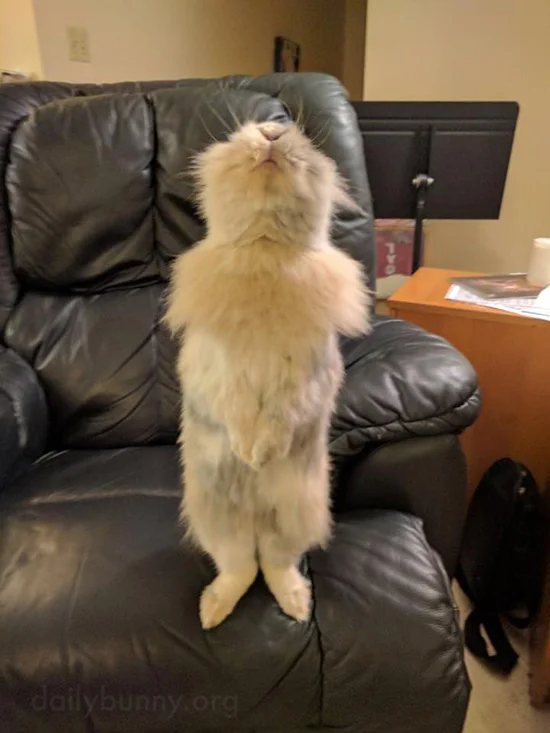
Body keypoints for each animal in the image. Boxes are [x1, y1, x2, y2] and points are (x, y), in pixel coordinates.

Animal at [165, 120, 370, 629]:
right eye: (244, 133)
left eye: (301, 137)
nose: (273, 133)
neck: (264, 250)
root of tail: (256, 521)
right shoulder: (219, 369)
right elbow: (236, 404)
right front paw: (247, 451)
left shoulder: (305, 375)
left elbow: (284, 411)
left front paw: (262, 453)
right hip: (217, 518)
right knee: (240, 567)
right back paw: (212, 612)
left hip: (299, 511)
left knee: (274, 564)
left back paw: (296, 605)